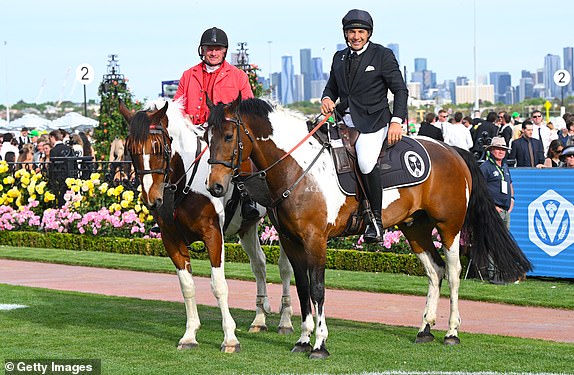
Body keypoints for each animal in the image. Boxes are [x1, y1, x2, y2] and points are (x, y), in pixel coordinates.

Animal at [120, 98, 294, 354]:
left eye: (158, 147)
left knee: (284, 267)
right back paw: (260, 318)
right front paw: (189, 335)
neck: (185, 185)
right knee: (259, 265)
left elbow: (219, 285)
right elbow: (187, 285)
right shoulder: (171, 239)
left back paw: (285, 320)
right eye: (130, 150)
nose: (152, 199)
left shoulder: (213, 235)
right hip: (246, 227)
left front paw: (230, 338)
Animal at [205, 97, 532, 362]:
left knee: (452, 273)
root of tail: (452, 150)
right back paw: (425, 328)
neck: (298, 167)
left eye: (229, 136)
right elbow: (302, 289)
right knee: (434, 271)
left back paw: (451, 331)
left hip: (449, 228)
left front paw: (319, 343)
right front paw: (303, 338)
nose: (215, 186)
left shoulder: (315, 240)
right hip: (415, 229)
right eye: (207, 136)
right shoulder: (291, 241)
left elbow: (318, 289)